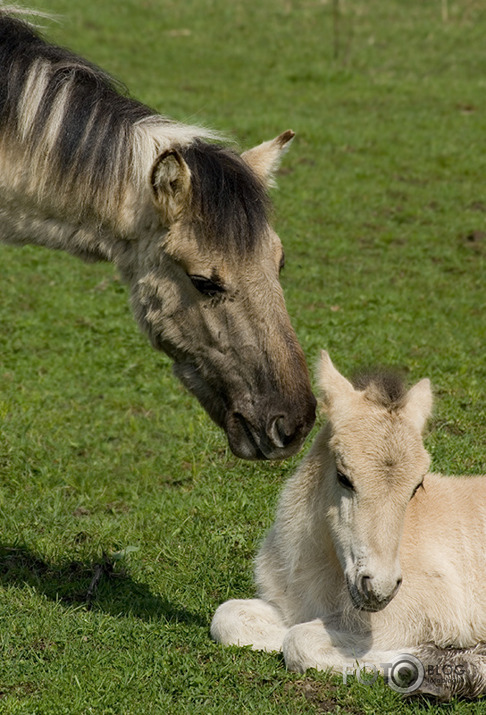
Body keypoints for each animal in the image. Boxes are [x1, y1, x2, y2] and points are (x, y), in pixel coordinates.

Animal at [212, 352, 486, 700]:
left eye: (416, 486)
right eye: (343, 477)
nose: (379, 588)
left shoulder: (416, 618)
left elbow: (299, 642)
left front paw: (453, 669)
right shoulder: (295, 607)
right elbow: (229, 618)